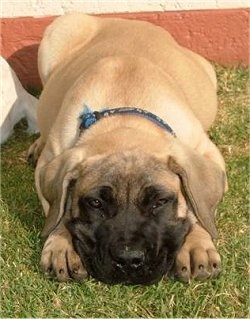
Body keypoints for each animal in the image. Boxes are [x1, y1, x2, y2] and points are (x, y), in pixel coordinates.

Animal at [28, 12, 228, 284]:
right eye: (95, 203)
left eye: (160, 202)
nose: (128, 260)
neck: (124, 115)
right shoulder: (50, 162)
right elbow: (58, 208)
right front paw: (61, 243)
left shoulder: (207, 153)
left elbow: (198, 203)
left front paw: (197, 242)